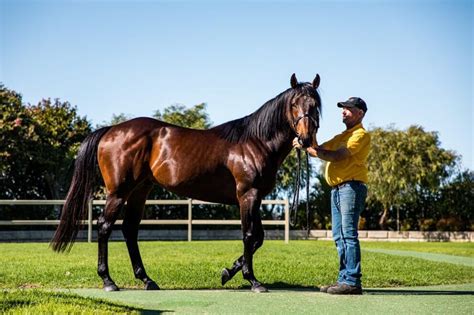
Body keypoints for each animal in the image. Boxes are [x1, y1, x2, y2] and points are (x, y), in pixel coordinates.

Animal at [51, 74, 322, 294]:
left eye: (316, 104)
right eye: (294, 103)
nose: (306, 138)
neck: (255, 142)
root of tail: (110, 131)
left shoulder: (255, 198)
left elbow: (258, 238)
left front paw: (227, 272)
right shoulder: (248, 195)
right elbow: (248, 236)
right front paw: (253, 281)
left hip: (139, 191)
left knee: (129, 230)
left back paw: (147, 280)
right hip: (118, 192)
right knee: (105, 227)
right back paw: (108, 281)